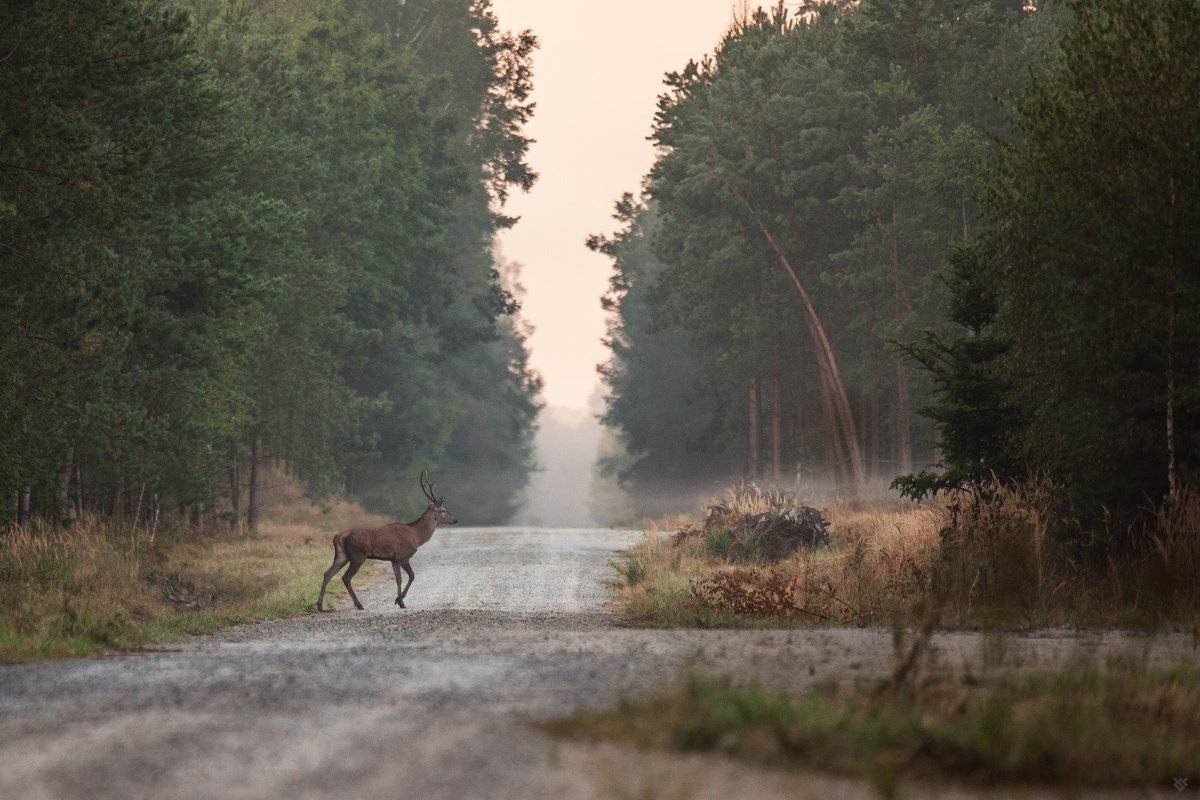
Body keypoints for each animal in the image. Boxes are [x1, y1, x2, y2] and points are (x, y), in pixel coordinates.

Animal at [317, 472, 457, 612]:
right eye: (443, 510)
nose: (455, 520)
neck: (416, 536)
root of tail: (338, 537)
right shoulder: (403, 556)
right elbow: (412, 576)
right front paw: (399, 599)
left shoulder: (394, 559)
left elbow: (398, 579)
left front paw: (400, 602)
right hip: (357, 555)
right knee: (346, 577)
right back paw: (359, 604)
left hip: (342, 555)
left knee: (327, 574)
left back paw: (320, 605)